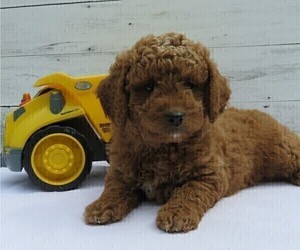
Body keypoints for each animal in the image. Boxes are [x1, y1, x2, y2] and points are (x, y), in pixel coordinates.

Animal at [84, 32, 300, 232]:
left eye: (190, 84)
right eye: (149, 86)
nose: (176, 116)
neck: (164, 147)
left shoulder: (210, 174)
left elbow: (189, 191)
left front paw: (177, 214)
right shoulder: (121, 171)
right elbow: (114, 187)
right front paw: (101, 206)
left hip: (282, 151)